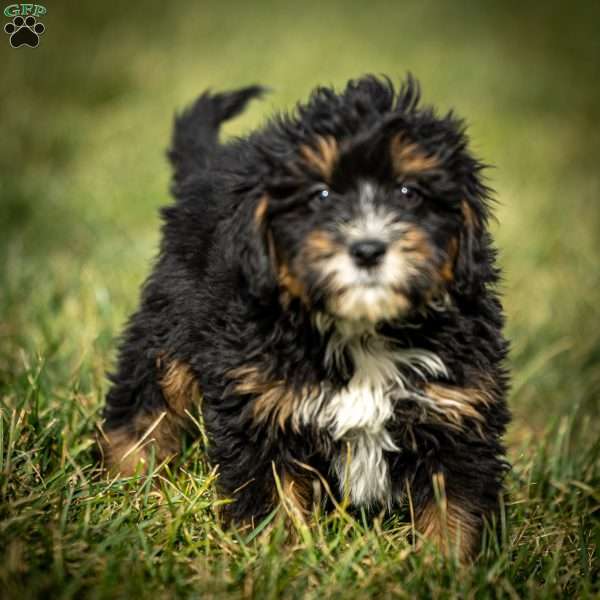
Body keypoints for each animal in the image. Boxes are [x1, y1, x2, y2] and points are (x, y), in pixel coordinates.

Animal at [101, 76, 508, 564]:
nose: (367, 249)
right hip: (172, 321)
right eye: (321, 195)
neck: (362, 330)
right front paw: (276, 559)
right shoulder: (260, 405)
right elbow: (273, 499)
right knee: (147, 397)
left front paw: (443, 568)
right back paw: (127, 480)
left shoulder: (459, 412)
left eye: (409, 192)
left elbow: (453, 512)